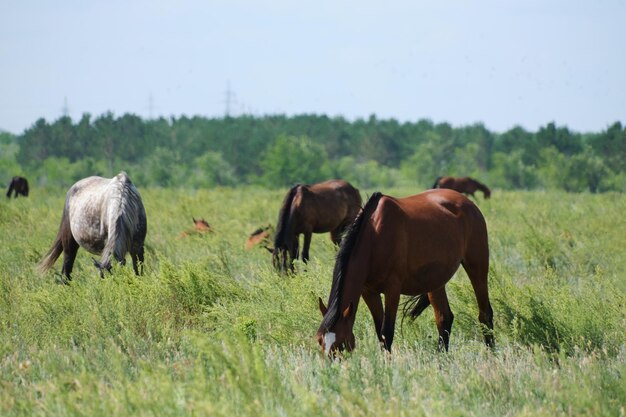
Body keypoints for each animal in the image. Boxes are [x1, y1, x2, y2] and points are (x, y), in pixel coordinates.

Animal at [316, 188, 492, 354]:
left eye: (342, 343)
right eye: (319, 340)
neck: (375, 234)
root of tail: (468, 203)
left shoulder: (392, 289)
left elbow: (387, 332)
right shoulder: (369, 292)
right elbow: (380, 332)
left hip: (477, 267)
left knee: (485, 315)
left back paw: (492, 353)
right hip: (435, 282)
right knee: (444, 319)